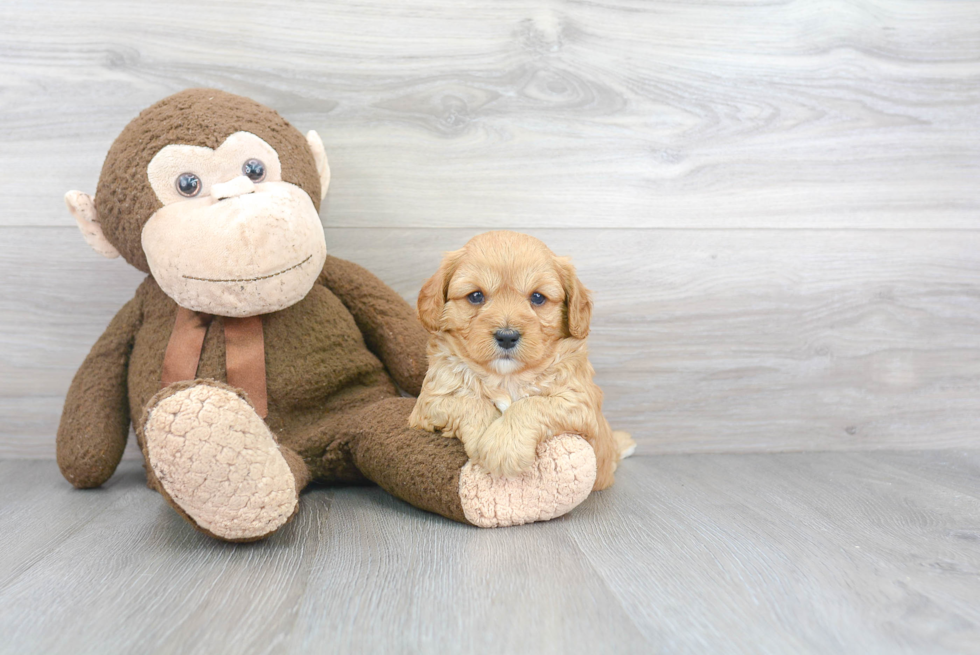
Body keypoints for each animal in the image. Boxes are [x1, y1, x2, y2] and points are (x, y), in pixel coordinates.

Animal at [408, 231, 632, 492]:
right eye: (476, 296)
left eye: (537, 297)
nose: (507, 336)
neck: (506, 377)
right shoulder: (429, 401)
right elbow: (469, 402)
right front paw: (484, 435)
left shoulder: (578, 402)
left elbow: (532, 405)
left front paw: (502, 447)